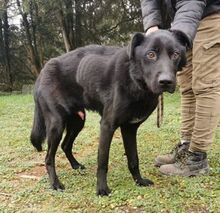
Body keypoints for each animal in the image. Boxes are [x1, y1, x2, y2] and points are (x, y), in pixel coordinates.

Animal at [30, 30, 186, 196]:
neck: (134, 79)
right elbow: (103, 161)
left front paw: (139, 181)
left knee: (66, 145)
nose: (166, 81)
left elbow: (133, 160)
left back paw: (75, 165)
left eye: (175, 54)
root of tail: (42, 71)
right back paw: (55, 183)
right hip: (57, 124)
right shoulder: (107, 126)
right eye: (150, 54)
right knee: (48, 157)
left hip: (78, 121)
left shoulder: (129, 129)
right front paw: (102, 189)